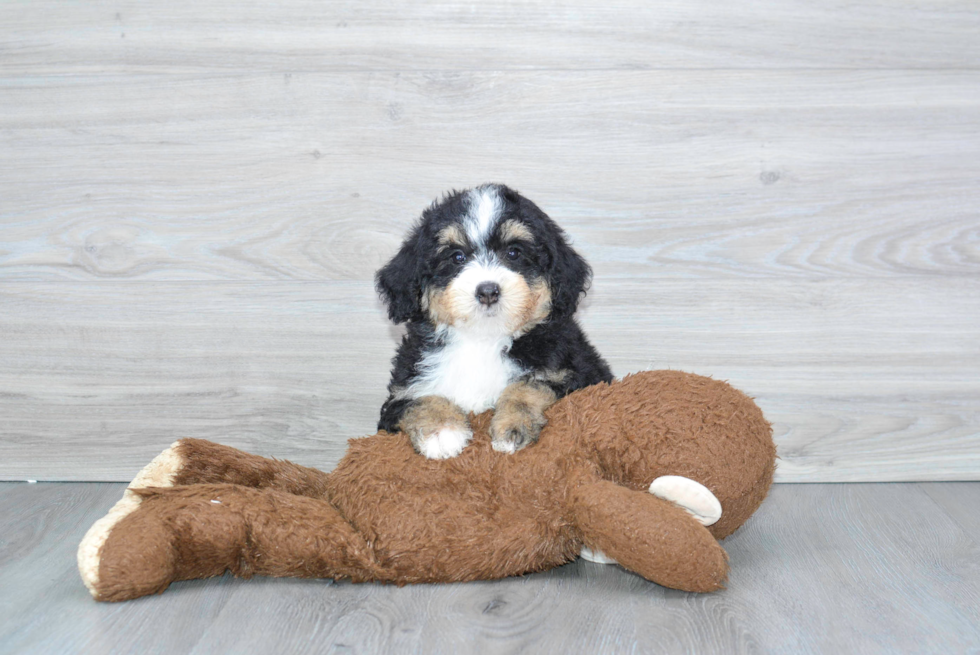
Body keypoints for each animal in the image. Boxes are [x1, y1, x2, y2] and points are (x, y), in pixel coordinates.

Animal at [378, 183, 612, 462]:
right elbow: (417, 400)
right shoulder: (399, 394)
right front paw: (443, 432)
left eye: (514, 252)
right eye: (456, 257)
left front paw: (511, 427)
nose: (488, 291)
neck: (483, 338)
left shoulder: (579, 376)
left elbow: (529, 385)